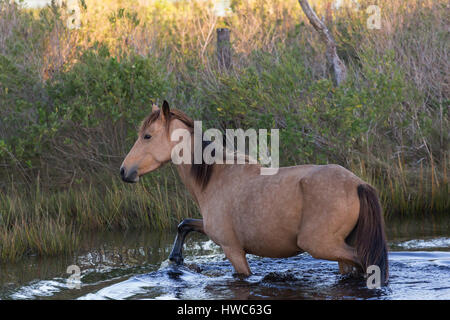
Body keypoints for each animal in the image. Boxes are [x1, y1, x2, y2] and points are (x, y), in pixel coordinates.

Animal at [120, 100, 390, 284]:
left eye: (147, 136)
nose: (124, 171)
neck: (215, 177)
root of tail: (357, 184)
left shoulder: (233, 250)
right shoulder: (210, 228)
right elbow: (184, 224)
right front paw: (176, 259)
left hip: (323, 246)